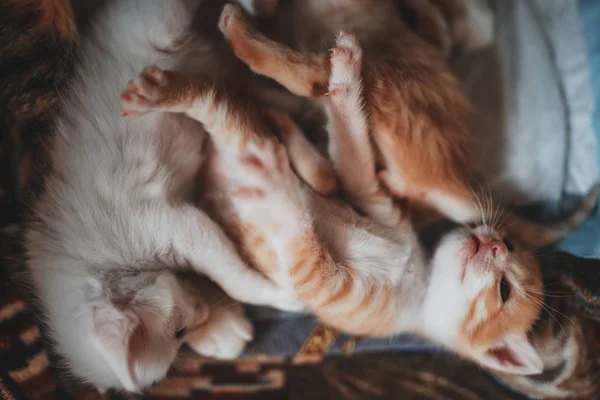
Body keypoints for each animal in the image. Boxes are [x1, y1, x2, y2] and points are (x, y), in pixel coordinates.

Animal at [24, 0, 304, 394]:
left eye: (179, 332)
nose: (202, 312)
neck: (100, 265)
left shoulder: (168, 223)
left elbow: (232, 277)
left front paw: (283, 298)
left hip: (159, 23)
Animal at [120, 29, 596, 382]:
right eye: (510, 245)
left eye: (504, 291)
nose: (494, 245)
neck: (418, 276)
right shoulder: (371, 197)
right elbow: (353, 150)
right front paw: (347, 82)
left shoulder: (326, 288)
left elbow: (297, 230)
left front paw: (276, 186)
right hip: (239, 129)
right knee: (211, 101)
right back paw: (165, 93)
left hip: (239, 137)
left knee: (220, 109)